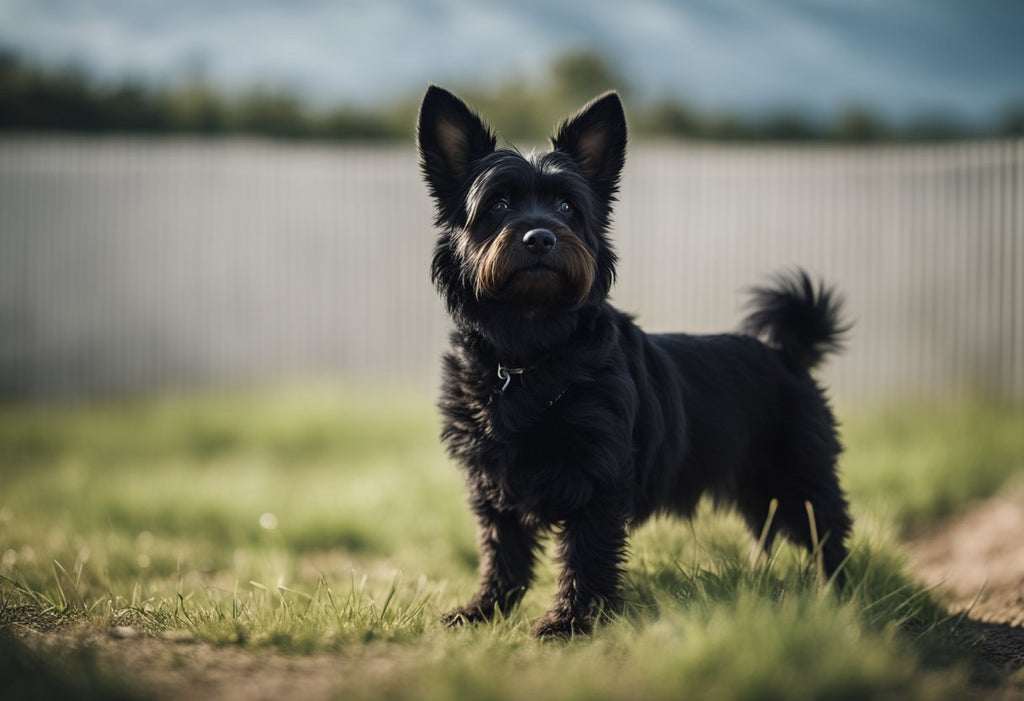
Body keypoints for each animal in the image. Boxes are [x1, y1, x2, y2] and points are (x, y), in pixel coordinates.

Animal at [413, 84, 847, 638]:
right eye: (499, 203)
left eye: (567, 206)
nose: (540, 237)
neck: (528, 354)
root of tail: (788, 354)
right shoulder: (491, 484)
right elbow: (501, 552)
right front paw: (485, 611)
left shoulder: (597, 479)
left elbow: (586, 553)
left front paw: (572, 622)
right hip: (758, 486)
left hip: (799, 475)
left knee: (828, 532)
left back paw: (836, 596)